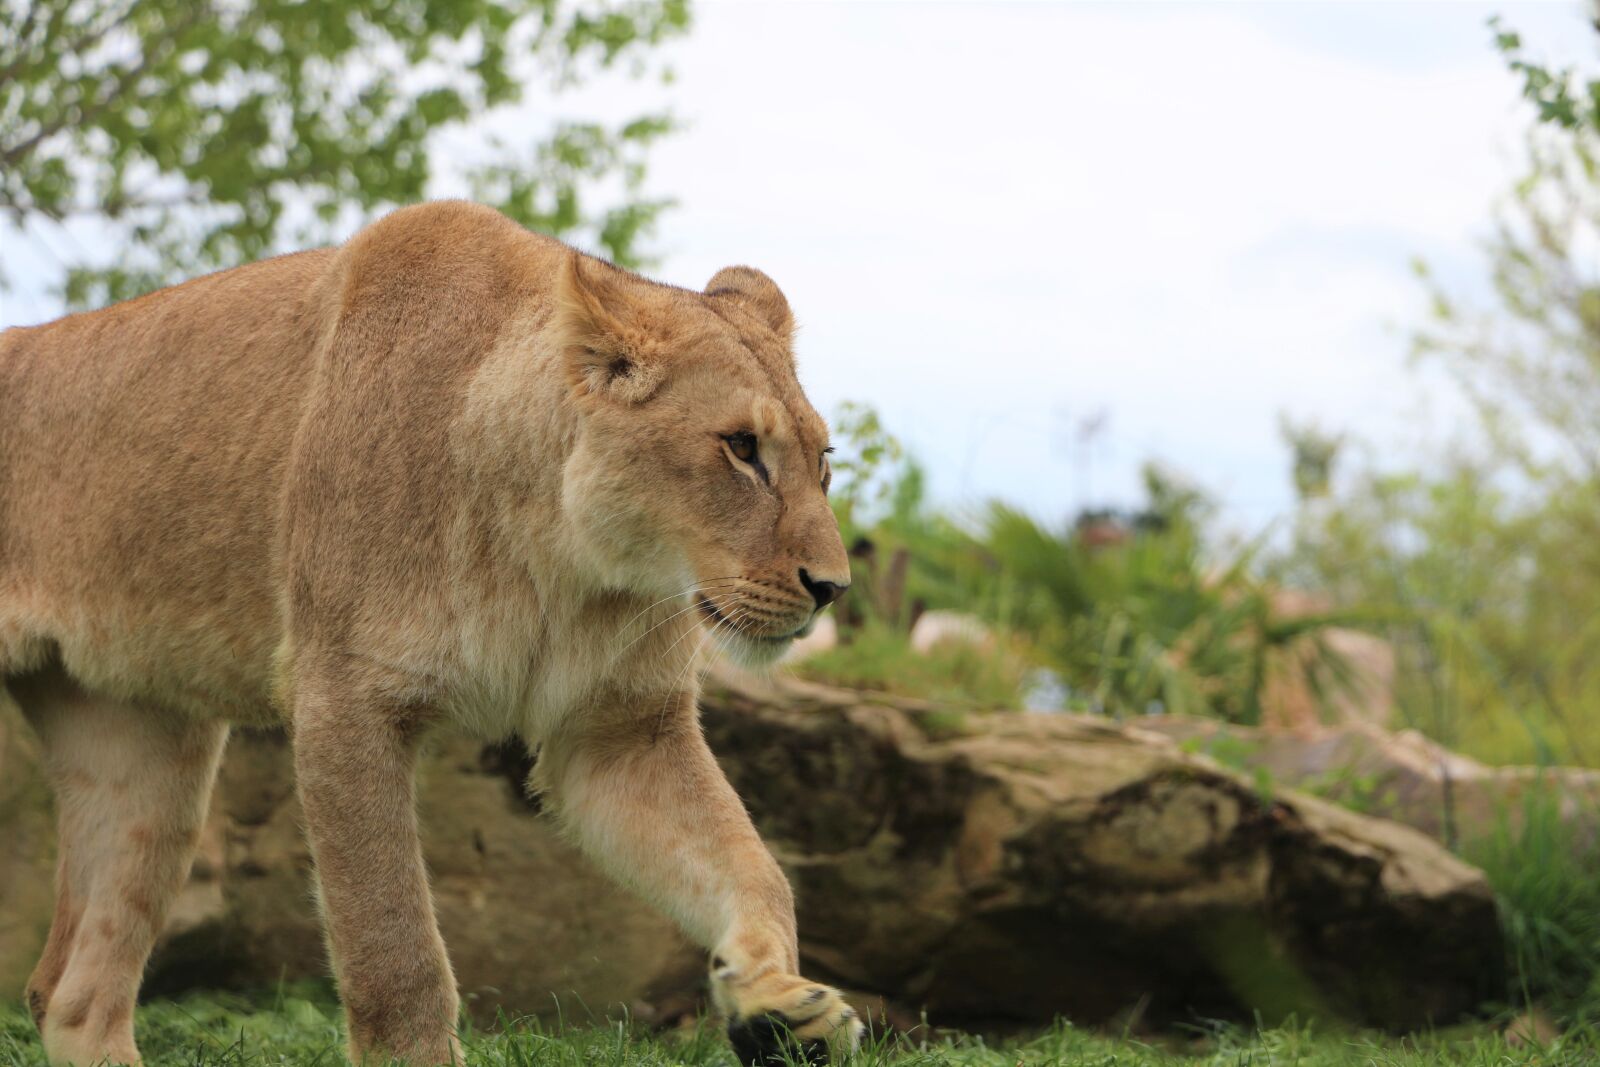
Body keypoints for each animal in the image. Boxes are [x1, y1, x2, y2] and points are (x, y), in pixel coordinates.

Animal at [0, 201, 861, 1066]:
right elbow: (394, 944)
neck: (560, 564)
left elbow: (749, 865)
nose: (833, 588)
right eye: (742, 448)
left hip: (144, 749)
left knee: (73, 987)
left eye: (823, 461)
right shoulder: (344, 698)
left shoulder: (620, 732)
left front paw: (783, 1007)